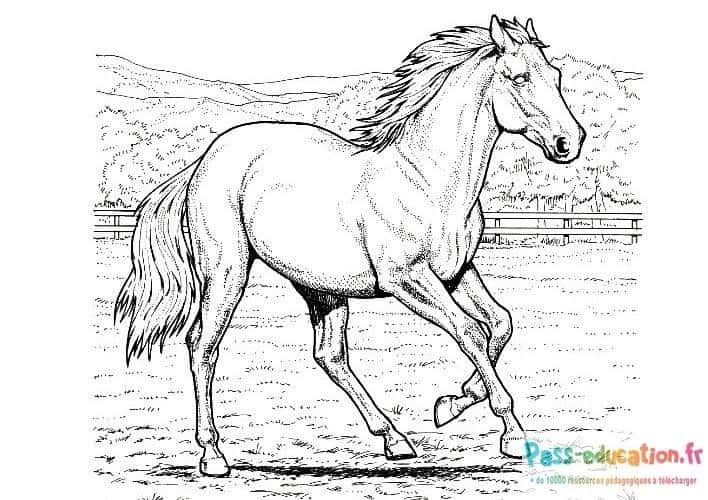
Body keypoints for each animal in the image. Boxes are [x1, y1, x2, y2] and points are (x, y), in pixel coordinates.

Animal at [115, 15, 585, 477]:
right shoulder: (407, 280)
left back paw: (395, 440)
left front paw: (451, 404)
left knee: (329, 356)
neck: (427, 180)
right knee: (203, 346)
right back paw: (213, 456)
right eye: (520, 77)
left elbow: (501, 324)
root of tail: (204, 160)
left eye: (556, 75)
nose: (570, 142)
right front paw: (510, 433)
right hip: (227, 272)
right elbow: (470, 331)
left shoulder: (457, 273)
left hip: (321, 288)